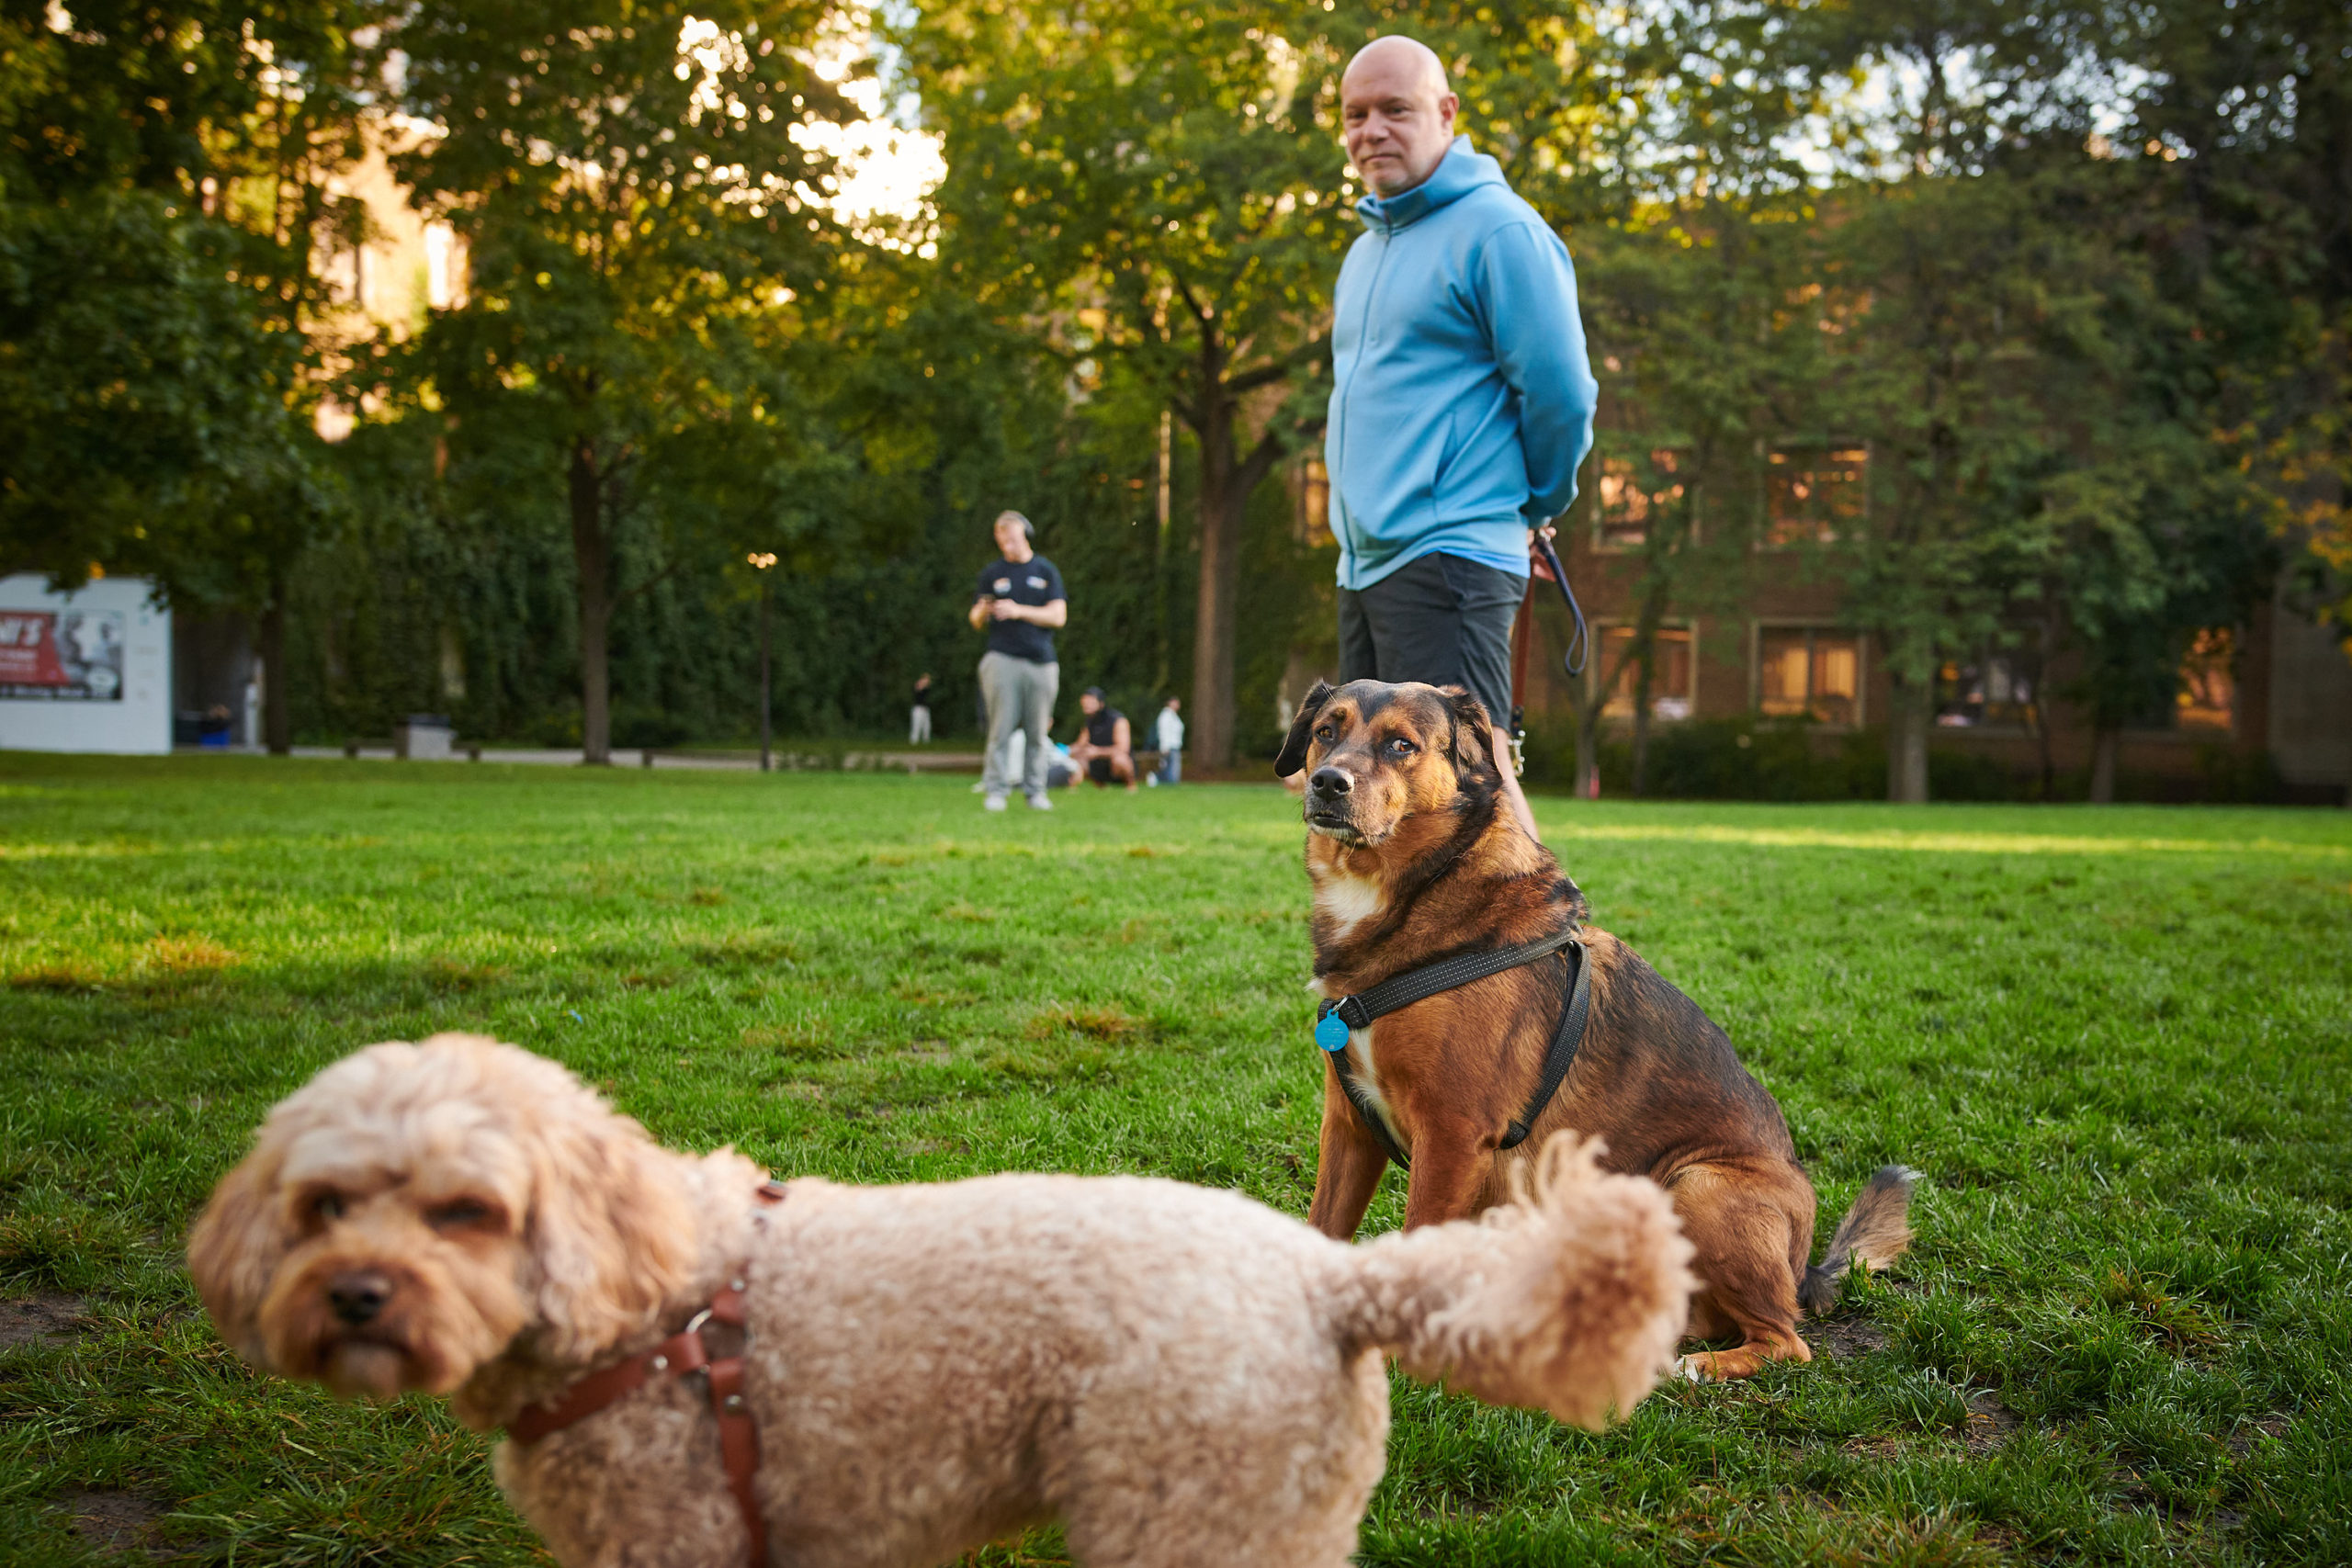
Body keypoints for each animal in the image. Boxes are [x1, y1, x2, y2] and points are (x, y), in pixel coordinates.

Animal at [183, 1034, 1693, 1561]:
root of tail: (1331, 1269)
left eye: (468, 1210)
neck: (648, 1294)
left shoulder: (676, 1541)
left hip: (1185, 1521)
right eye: (323, 1205)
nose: (356, 1294)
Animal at [1279, 682, 1918, 1382]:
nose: (1328, 782)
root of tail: (1805, 1269)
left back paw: (1692, 1366)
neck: (1411, 893)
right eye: (1326, 731)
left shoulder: (1450, 1135)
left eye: (1401, 744)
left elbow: (1418, 1244)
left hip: (1698, 1186)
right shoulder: (1349, 1126)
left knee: (1783, 1338)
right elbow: (1320, 1231)